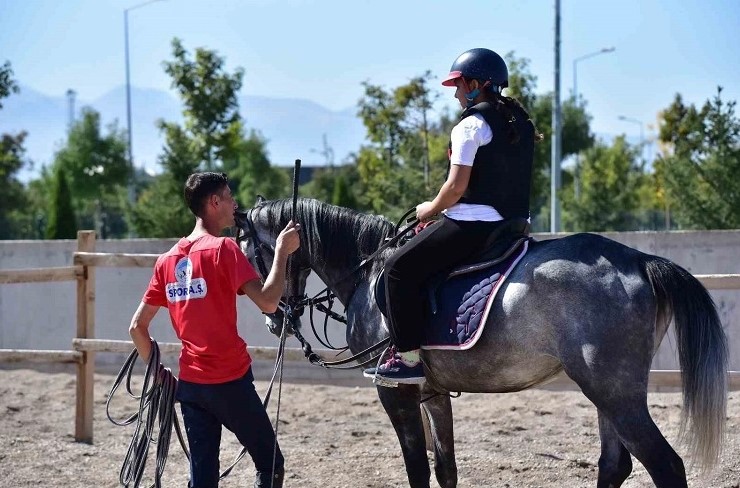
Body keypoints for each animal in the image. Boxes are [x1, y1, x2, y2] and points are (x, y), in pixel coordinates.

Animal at [237, 198, 728, 488]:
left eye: (249, 252)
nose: (273, 319)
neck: (369, 272)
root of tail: (640, 260)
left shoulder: (394, 392)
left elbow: (417, 469)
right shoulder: (431, 393)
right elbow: (445, 468)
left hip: (615, 391)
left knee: (665, 466)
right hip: (607, 393)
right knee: (615, 465)